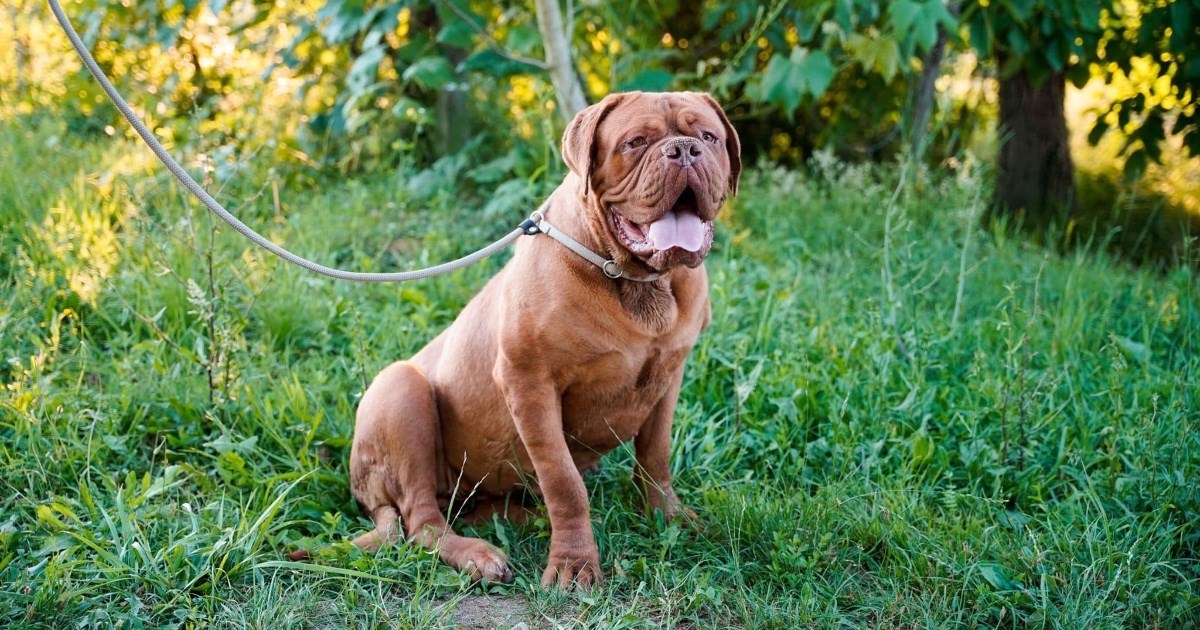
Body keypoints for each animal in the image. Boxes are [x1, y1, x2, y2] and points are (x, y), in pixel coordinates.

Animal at [343, 90, 739, 588]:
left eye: (708, 136)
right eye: (635, 142)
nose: (685, 150)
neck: (635, 280)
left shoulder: (669, 375)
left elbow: (655, 456)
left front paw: (669, 518)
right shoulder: (529, 384)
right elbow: (564, 482)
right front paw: (574, 564)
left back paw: (521, 518)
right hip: (401, 391)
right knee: (421, 521)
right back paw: (477, 555)